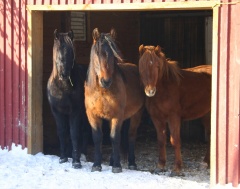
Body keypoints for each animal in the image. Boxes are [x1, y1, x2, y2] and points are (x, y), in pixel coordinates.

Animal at [47, 29, 89, 168]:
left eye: (71, 52)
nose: (64, 74)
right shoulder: (57, 112)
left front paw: (76, 162)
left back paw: (83, 155)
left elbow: (74, 133)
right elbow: (62, 132)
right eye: (57, 50)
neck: (63, 88)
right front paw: (63, 157)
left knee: (84, 131)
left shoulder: (75, 112)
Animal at [84, 28, 144, 173]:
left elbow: (115, 137)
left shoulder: (117, 115)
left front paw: (117, 166)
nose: (106, 81)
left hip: (136, 114)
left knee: (131, 135)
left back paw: (131, 163)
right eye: (97, 54)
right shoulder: (92, 115)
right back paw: (111, 161)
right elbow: (98, 137)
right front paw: (96, 165)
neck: (102, 91)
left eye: (114, 55)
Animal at [138, 45, 211, 176]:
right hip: (207, 114)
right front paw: (161, 165)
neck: (164, 89)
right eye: (142, 66)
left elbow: (175, 140)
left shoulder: (174, 117)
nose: (150, 91)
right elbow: (161, 140)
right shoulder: (157, 118)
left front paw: (177, 168)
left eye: (157, 66)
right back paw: (206, 162)